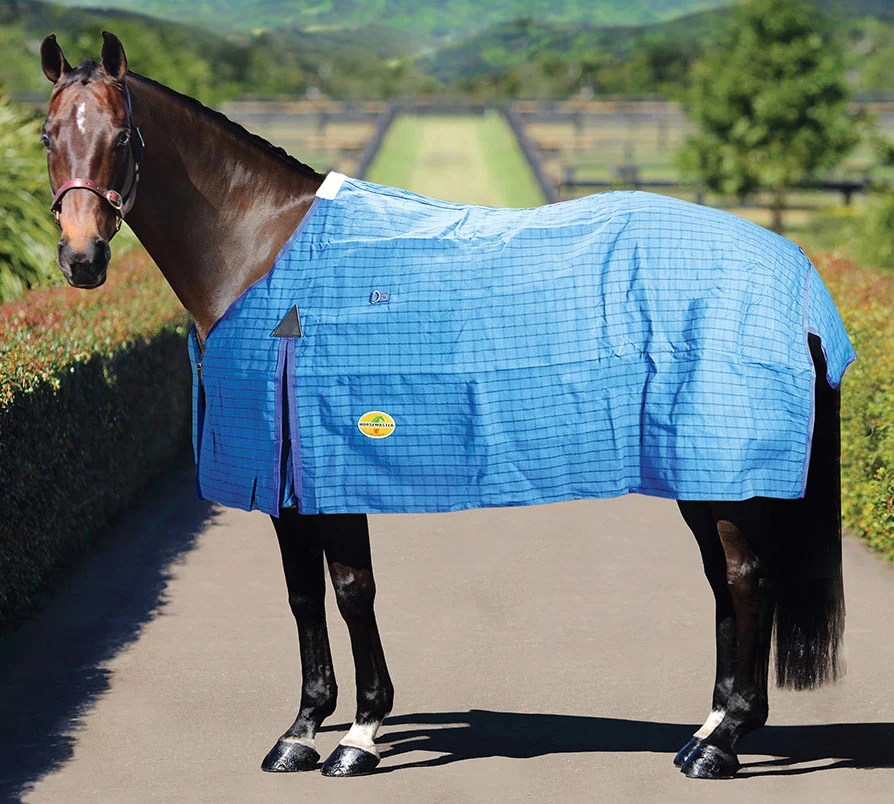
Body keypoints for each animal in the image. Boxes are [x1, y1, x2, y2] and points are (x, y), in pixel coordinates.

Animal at [39, 32, 853, 780]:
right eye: (48, 135)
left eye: (122, 136)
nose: (82, 259)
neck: (267, 258)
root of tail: (796, 272)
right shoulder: (279, 476)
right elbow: (303, 596)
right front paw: (300, 731)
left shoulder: (334, 469)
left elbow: (351, 590)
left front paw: (360, 736)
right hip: (701, 475)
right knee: (723, 583)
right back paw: (706, 728)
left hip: (729, 472)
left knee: (747, 580)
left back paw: (722, 743)